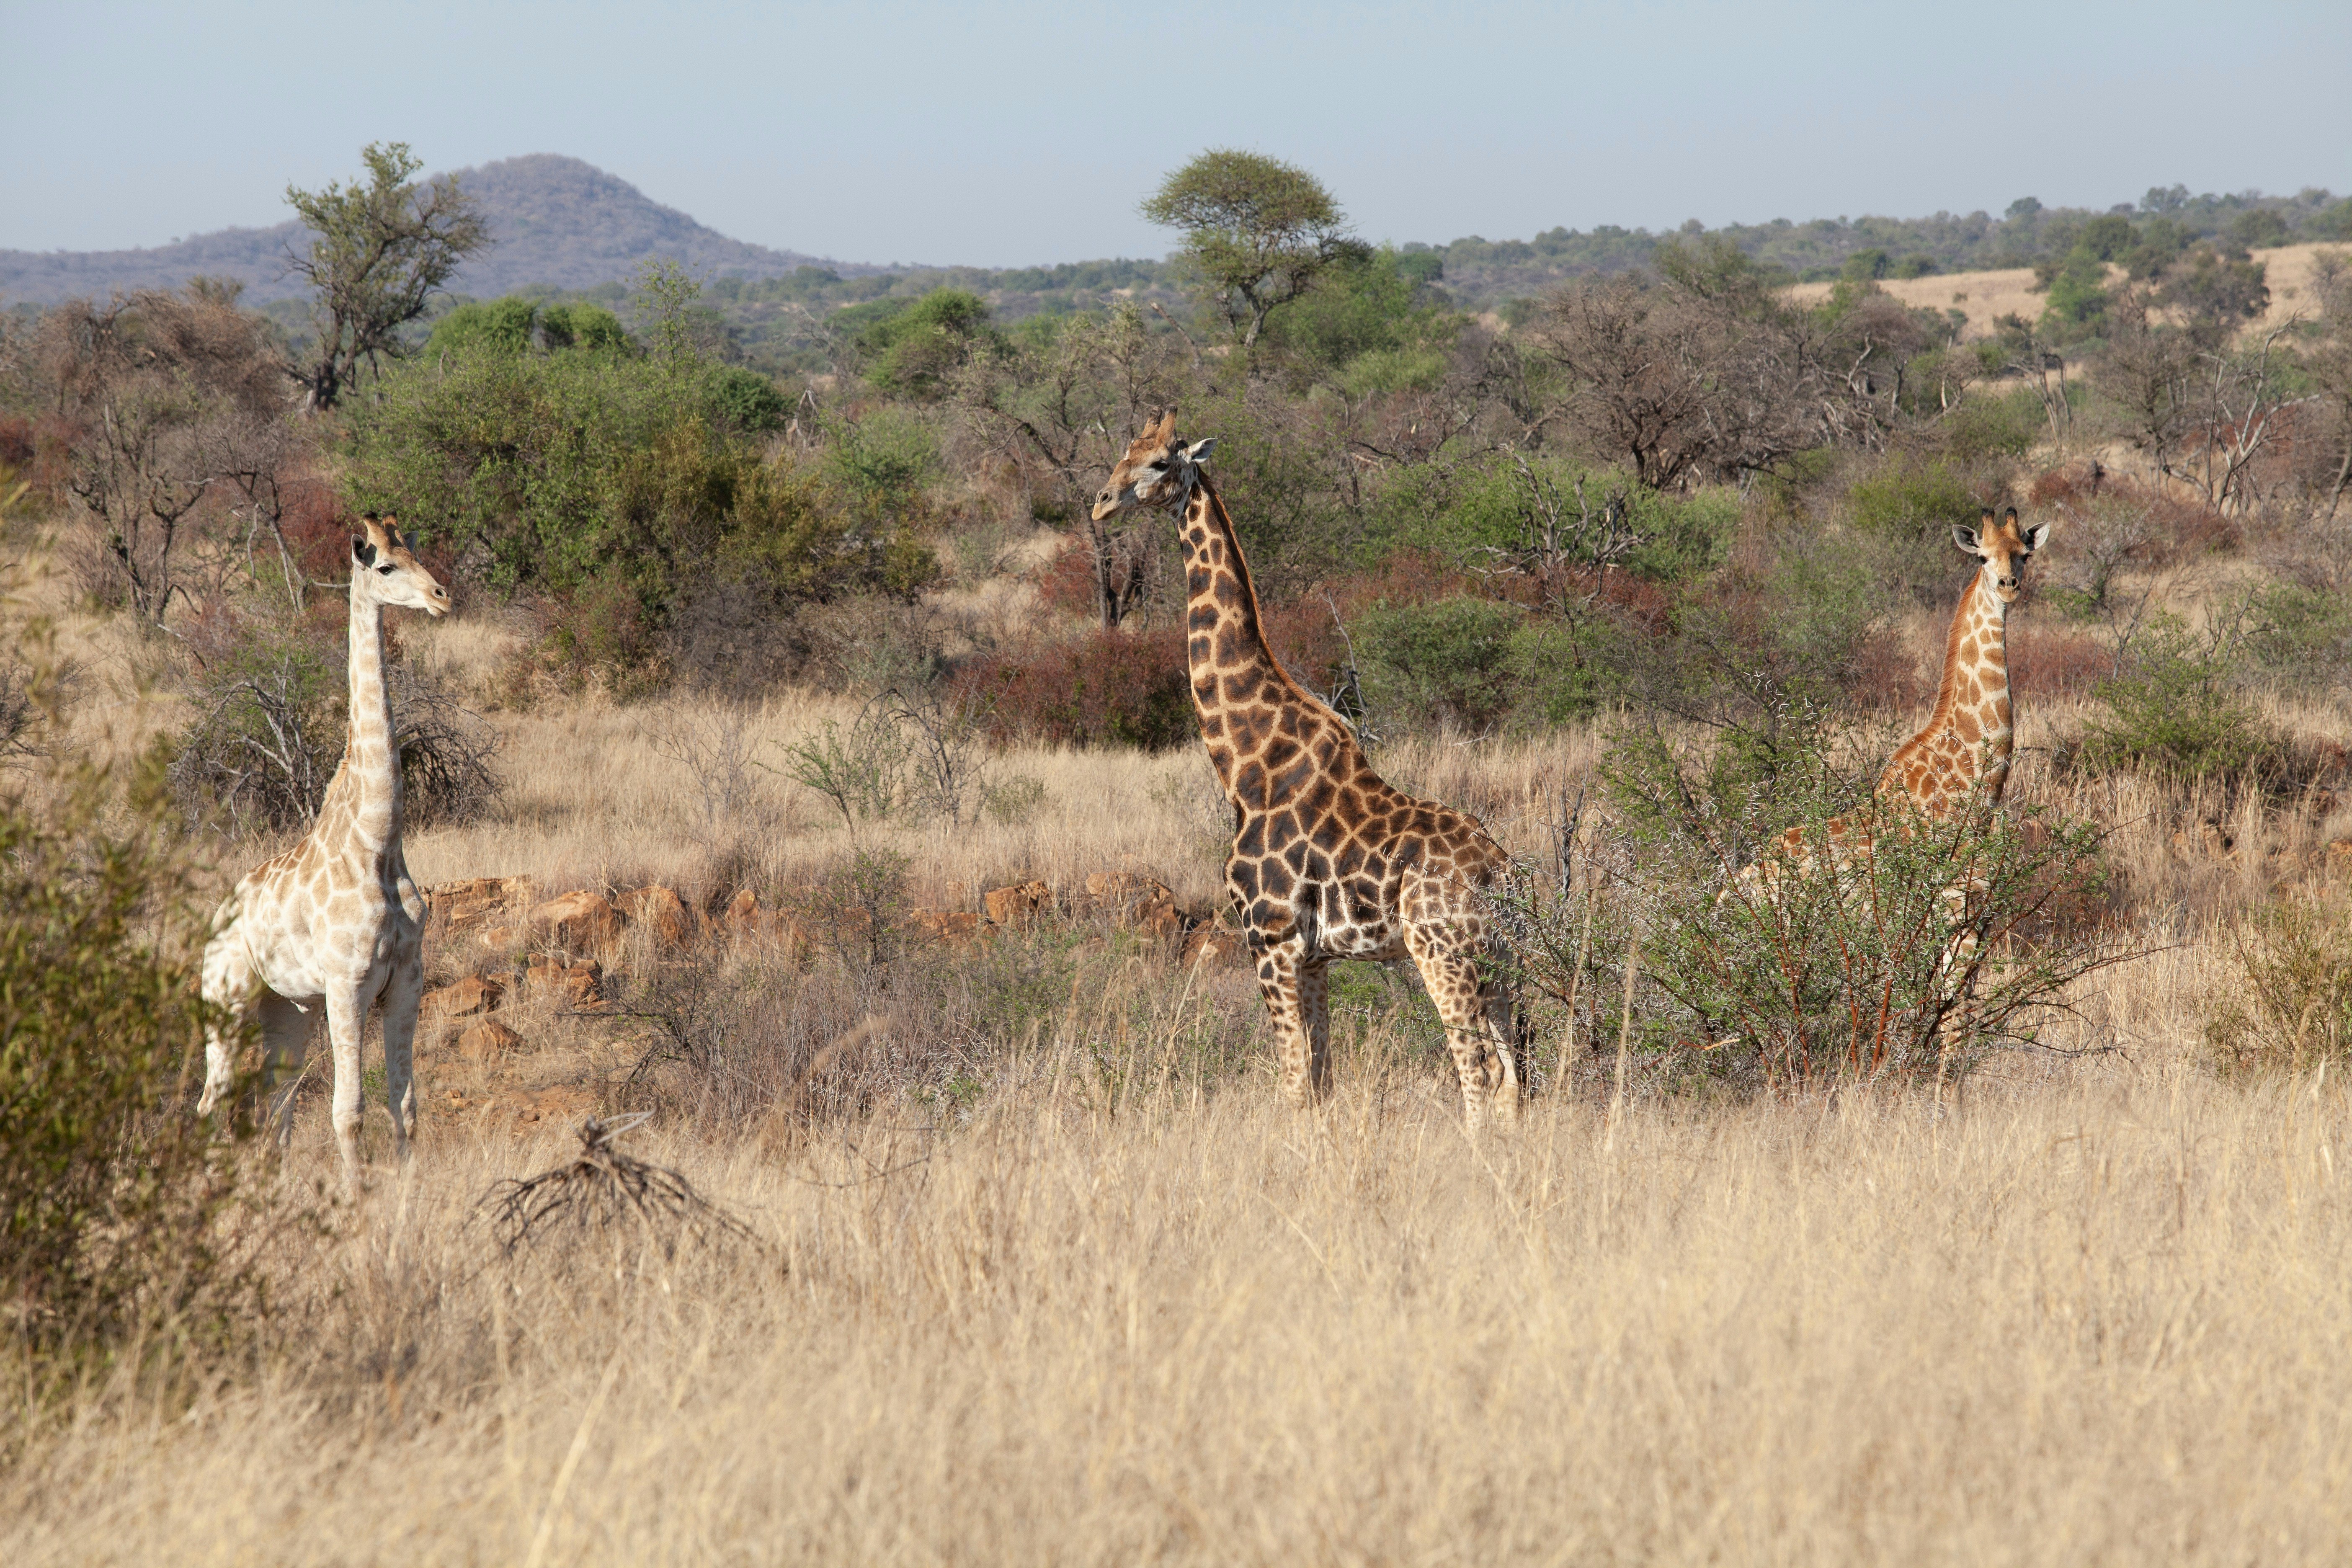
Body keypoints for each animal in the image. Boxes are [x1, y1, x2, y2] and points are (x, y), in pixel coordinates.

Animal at [198, 515, 451, 1177]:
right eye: (385, 567)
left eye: (416, 553)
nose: (442, 597)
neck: (380, 841)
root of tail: (213, 919)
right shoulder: (349, 982)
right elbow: (349, 1112)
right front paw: (357, 1195)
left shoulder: (407, 979)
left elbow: (406, 1106)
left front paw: (403, 1192)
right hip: (228, 1000)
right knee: (212, 1103)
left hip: (290, 1009)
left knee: (276, 1100)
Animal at [1091, 411, 1523, 1132]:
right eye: (1123, 452)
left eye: (1157, 463)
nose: (1100, 503)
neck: (1243, 763)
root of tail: (1506, 874)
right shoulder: (1315, 955)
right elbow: (1321, 1081)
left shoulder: (1270, 939)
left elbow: (1294, 1084)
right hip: (1501, 963)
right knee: (1517, 1077)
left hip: (1443, 953)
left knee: (1480, 1073)